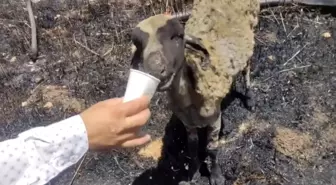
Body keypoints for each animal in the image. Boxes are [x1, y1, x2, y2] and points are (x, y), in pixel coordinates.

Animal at [129, 0, 260, 184]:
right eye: (139, 45)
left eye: (177, 36)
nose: (155, 70)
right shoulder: (188, 122)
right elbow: (192, 149)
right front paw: (193, 173)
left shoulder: (213, 119)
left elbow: (212, 149)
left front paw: (216, 176)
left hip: (249, 38)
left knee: (247, 69)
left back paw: (250, 99)